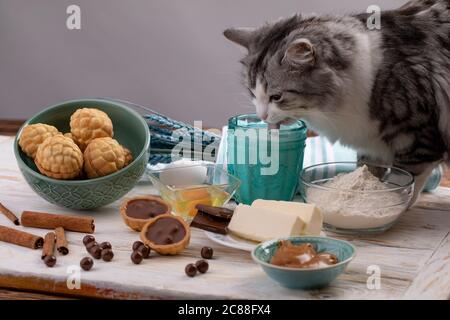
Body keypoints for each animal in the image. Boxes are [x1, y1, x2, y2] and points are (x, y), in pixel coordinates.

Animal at [225, 0, 450, 204]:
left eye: (276, 97)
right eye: (252, 92)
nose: (262, 115)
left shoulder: (418, 141)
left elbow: (403, 184)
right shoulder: (371, 145)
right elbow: (366, 171)